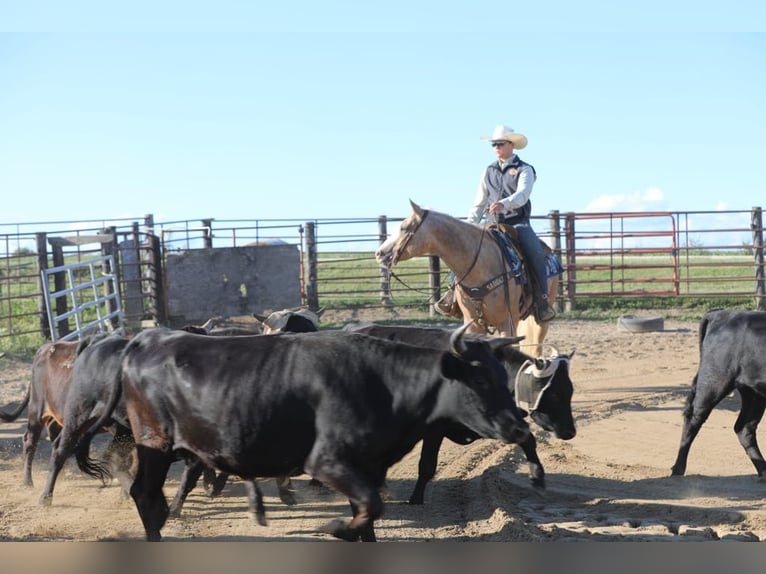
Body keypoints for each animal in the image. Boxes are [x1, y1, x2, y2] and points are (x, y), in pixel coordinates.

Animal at [79, 324, 536, 544]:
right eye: (479, 381)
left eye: (503, 377)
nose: (519, 426)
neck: (382, 382)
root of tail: (143, 339)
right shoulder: (328, 463)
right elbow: (368, 509)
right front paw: (335, 528)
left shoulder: (368, 468)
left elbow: (368, 515)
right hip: (154, 443)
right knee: (144, 495)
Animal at [344, 324, 576, 504]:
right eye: (554, 394)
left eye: (570, 390)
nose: (570, 431)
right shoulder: (435, 431)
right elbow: (427, 465)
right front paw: (416, 499)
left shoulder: (496, 423)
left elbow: (528, 439)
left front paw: (538, 479)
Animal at [376, 200, 560, 358]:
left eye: (404, 227)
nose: (379, 253)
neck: (482, 267)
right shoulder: (473, 325)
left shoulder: (507, 323)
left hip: (541, 319)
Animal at [676, 312, 766, 480]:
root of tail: (720, 314)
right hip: (714, 382)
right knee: (693, 419)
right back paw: (677, 469)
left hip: (753, 392)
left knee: (744, 428)